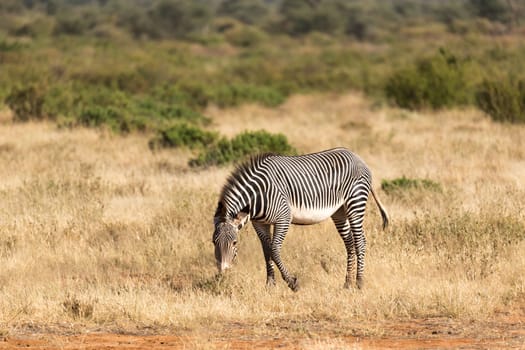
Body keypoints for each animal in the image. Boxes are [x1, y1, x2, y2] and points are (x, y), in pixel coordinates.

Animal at [211, 146, 386, 292]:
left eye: (234, 242)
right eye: (213, 242)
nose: (222, 273)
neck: (258, 196)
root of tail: (357, 157)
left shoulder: (283, 218)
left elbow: (274, 250)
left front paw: (292, 283)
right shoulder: (260, 224)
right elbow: (266, 251)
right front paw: (270, 285)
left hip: (355, 203)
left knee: (360, 241)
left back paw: (359, 283)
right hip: (339, 211)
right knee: (349, 243)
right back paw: (347, 284)